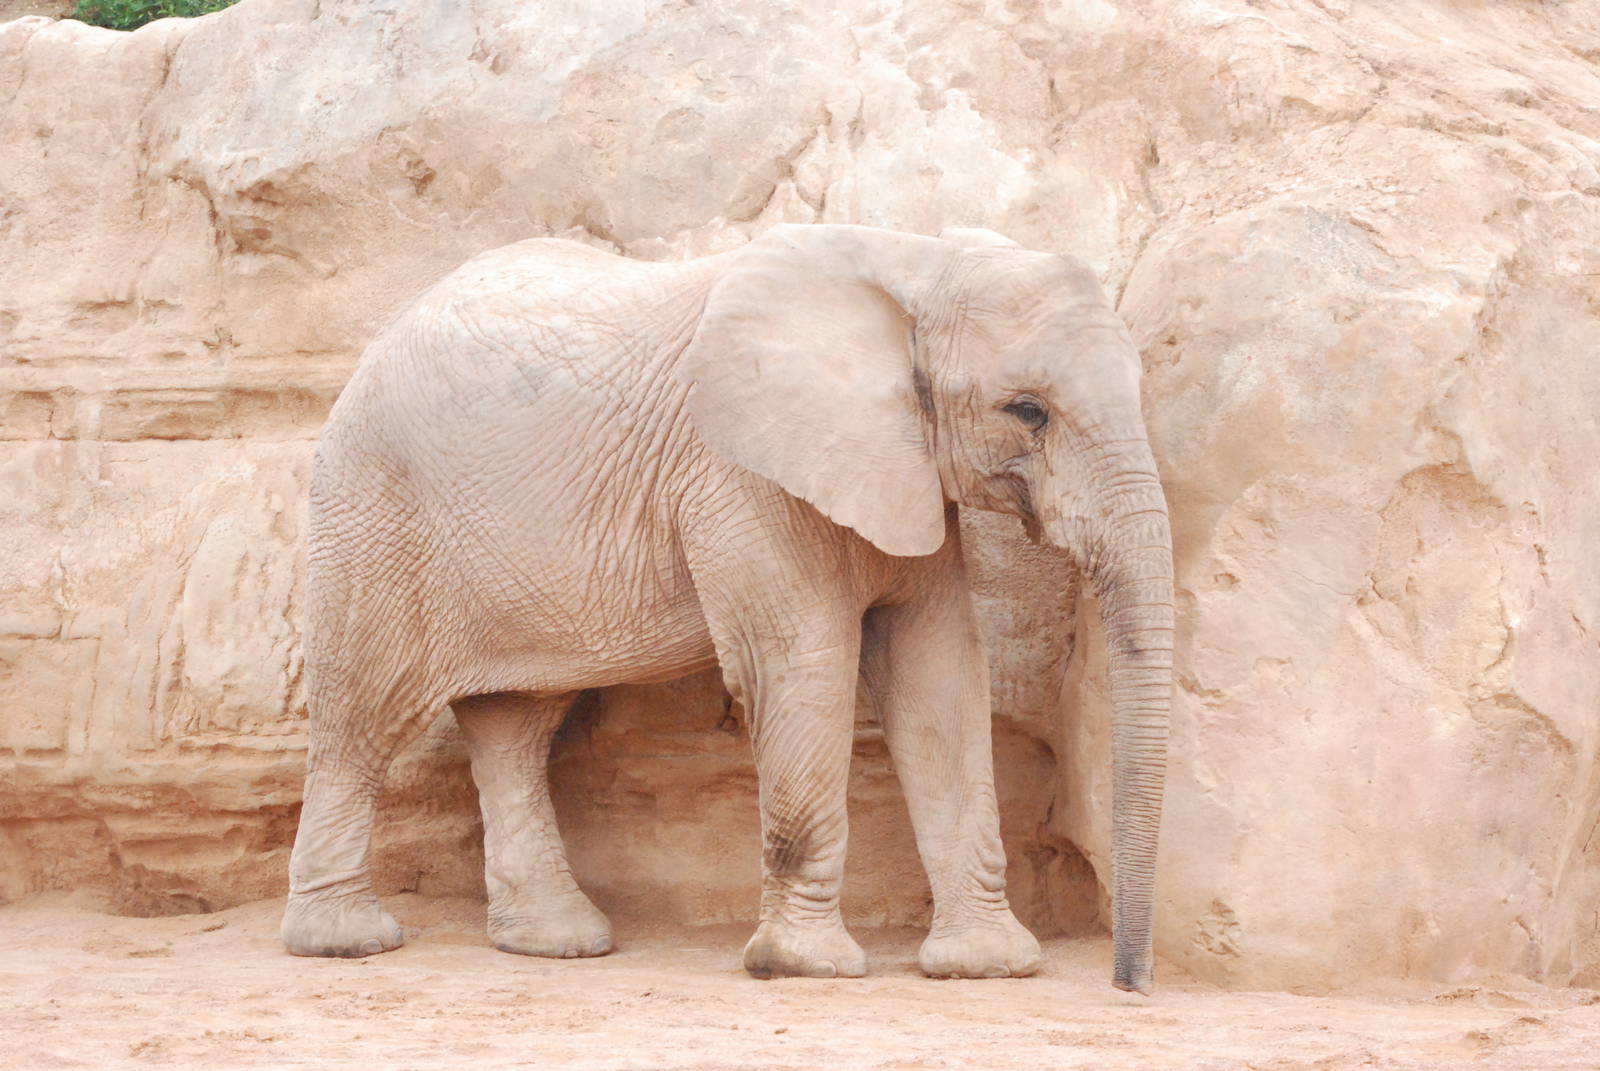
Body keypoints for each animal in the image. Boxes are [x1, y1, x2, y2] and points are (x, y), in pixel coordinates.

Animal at [279, 223, 1173, 993]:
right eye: (1028, 410)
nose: (1128, 984)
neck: (913, 261)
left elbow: (940, 673)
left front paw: (987, 966)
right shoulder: (740, 477)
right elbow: (807, 663)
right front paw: (808, 968)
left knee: (515, 721)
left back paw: (558, 942)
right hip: (373, 502)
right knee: (364, 713)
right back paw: (346, 941)